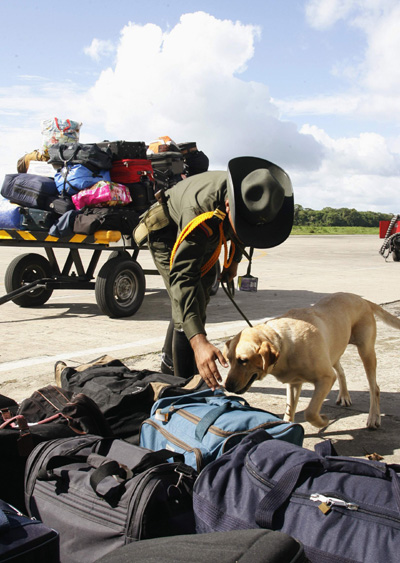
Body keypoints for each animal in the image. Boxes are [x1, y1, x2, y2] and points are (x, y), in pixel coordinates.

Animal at [223, 294, 398, 430]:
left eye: (243, 360)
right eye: (229, 359)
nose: (227, 387)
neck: (284, 343)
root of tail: (361, 299)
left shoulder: (326, 378)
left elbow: (310, 412)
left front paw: (323, 421)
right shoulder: (294, 383)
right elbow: (289, 411)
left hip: (366, 351)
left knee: (374, 387)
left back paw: (374, 417)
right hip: (333, 350)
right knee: (341, 371)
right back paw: (344, 395)